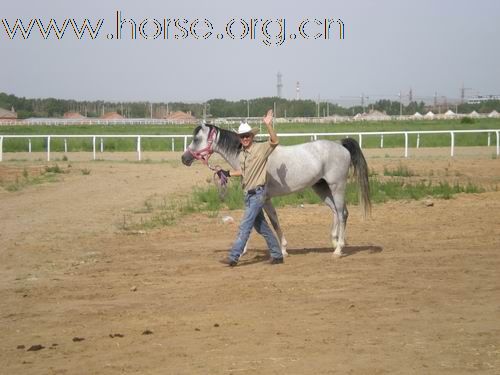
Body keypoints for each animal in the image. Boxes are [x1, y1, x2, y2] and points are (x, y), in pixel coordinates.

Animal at [181, 124, 372, 258]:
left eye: (197, 139)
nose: (184, 158)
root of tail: (341, 144)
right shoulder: (263, 199)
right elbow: (268, 222)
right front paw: (282, 249)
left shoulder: (263, 198)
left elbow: (263, 222)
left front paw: (244, 251)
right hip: (321, 188)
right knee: (335, 211)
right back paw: (334, 241)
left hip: (337, 186)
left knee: (342, 213)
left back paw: (338, 249)